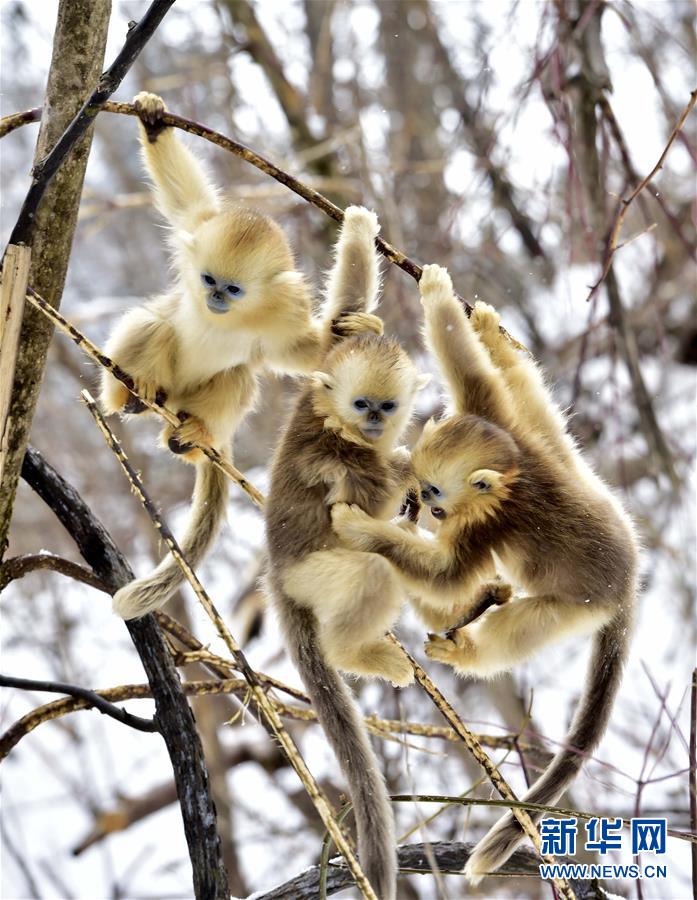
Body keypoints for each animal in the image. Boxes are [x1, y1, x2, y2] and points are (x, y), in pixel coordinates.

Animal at [100, 95, 378, 624]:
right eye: (209, 281)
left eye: (232, 289)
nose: (215, 299)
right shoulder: (196, 235)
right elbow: (188, 206)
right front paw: (153, 122)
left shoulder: (280, 316)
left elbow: (305, 352)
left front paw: (346, 329)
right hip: (152, 377)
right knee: (156, 325)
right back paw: (135, 394)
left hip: (198, 402)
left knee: (239, 377)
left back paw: (189, 437)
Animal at [330, 266, 636, 884]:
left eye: (435, 492)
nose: (423, 507)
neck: (512, 483)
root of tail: (630, 587)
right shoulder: (502, 424)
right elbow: (475, 373)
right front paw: (447, 302)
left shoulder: (482, 528)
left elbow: (446, 574)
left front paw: (361, 528)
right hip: (556, 452)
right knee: (533, 399)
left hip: (577, 607)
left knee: (519, 624)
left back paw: (464, 648)